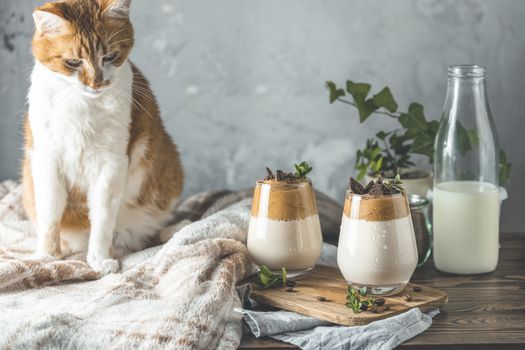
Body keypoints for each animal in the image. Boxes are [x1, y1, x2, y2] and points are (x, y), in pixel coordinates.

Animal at [22, 0, 184, 274]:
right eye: (73, 62)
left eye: (110, 57)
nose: (96, 83)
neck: (80, 103)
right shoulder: (47, 161)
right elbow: (50, 215)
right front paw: (47, 256)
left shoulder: (111, 163)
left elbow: (102, 218)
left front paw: (99, 259)